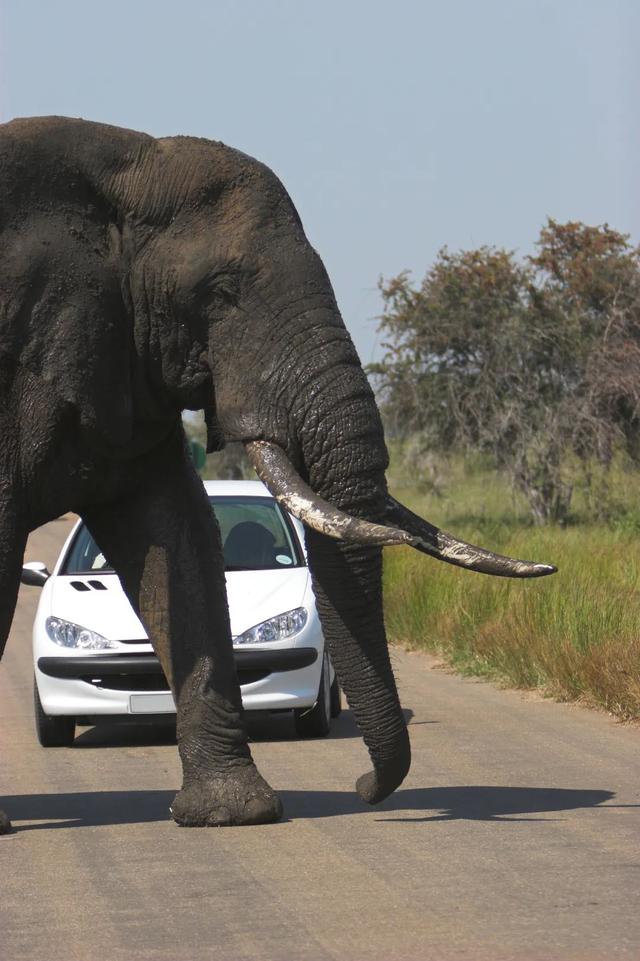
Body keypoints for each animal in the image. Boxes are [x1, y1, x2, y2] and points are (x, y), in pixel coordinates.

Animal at [0, 116, 556, 828]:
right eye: (221, 294)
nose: (363, 787)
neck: (118, 174)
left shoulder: (118, 360)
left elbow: (178, 538)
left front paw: (235, 813)